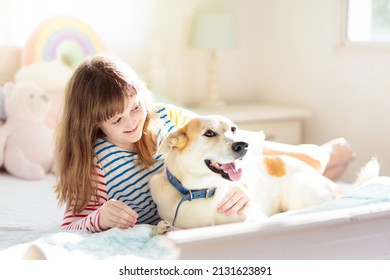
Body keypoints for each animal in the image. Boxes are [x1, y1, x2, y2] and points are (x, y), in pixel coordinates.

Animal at [149, 115, 378, 229]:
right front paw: (163, 228)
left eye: (233, 129)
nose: (243, 145)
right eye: (209, 133)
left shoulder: (253, 218)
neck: (202, 192)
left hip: (302, 195)